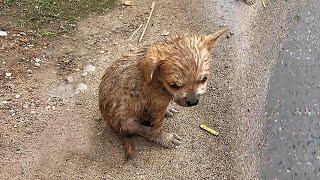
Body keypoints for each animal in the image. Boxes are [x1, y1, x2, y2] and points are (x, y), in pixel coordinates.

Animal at [99, 27, 229, 160]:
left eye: (204, 79)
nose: (193, 102)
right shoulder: (157, 105)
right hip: (125, 119)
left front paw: (168, 109)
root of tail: (113, 126)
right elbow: (156, 129)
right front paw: (165, 138)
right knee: (137, 128)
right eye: (174, 85)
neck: (157, 79)